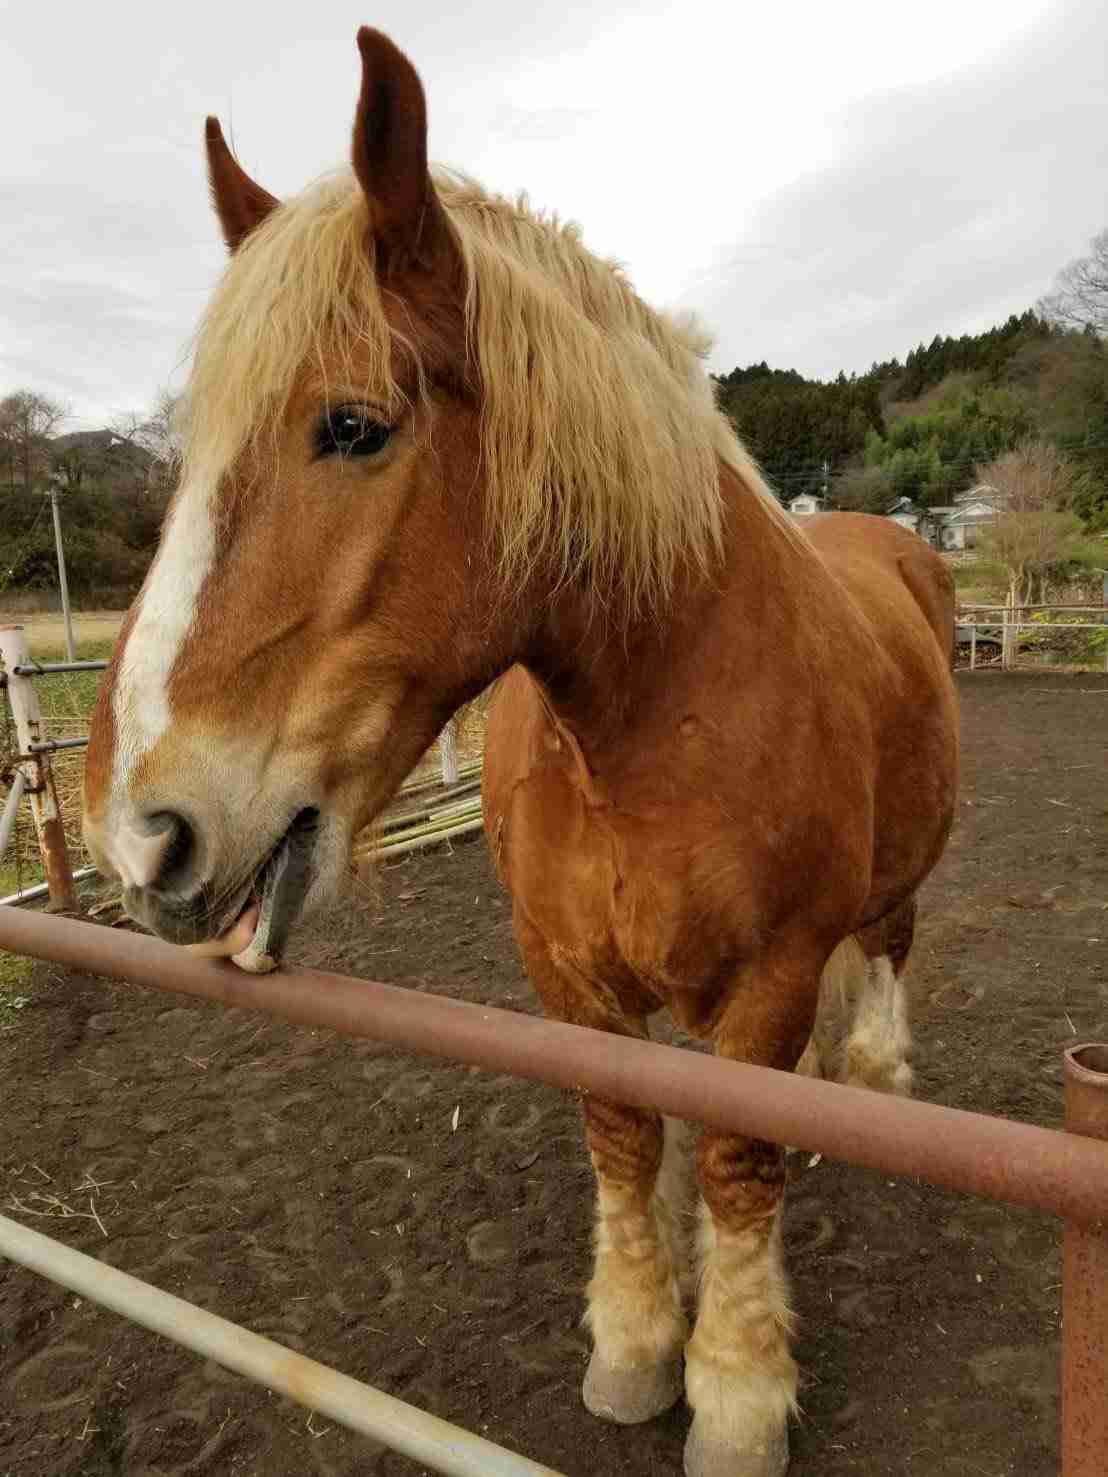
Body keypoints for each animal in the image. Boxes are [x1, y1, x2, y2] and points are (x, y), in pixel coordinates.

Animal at [82, 28, 959, 1476]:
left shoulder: (773, 977)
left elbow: (738, 1156)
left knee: (889, 942)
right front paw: (637, 1340)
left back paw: (879, 1074)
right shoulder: (564, 969)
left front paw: (733, 1393)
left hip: (893, 881)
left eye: (354, 425)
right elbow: (623, 1129)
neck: (653, 723)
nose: (146, 834)